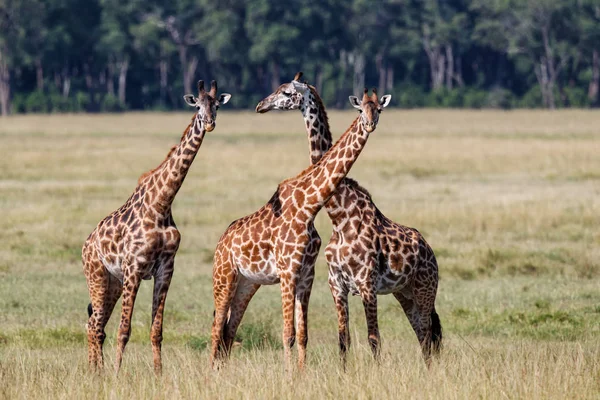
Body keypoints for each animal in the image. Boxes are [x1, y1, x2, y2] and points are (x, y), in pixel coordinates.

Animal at [84, 79, 232, 374]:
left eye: (217, 105)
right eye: (197, 106)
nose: (210, 123)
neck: (162, 203)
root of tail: (85, 245)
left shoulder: (165, 269)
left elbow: (156, 330)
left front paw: (158, 373)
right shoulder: (133, 268)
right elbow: (124, 329)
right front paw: (117, 374)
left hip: (112, 282)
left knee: (96, 324)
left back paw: (96, 371)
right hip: (96, 276)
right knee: (95, 326)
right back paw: (98, 372)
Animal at [211, 88, 394, 372]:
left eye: (379, 109)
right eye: (360, 109)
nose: (370, 124)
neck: (310, 206)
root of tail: (220, 244)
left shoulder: (306, 274)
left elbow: (303, 334)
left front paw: (300, 374)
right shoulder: (287, 272)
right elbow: (288, 333)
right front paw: (288, 376)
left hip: (247, 284)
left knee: (228, 331)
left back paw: (223, 374)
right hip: (224, 278)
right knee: (215, 328)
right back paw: (211, 375)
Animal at [255, 72, 442, 368]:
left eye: (285, 92)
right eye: (359, 109)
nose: (260, 105)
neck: (340, 216)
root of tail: (430, 251)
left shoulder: (367, 283)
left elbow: (374, 339)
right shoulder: (337, 284)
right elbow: (343, 340)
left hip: (425, 289)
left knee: (427, 335)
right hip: (405, 293)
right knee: (424, 336)